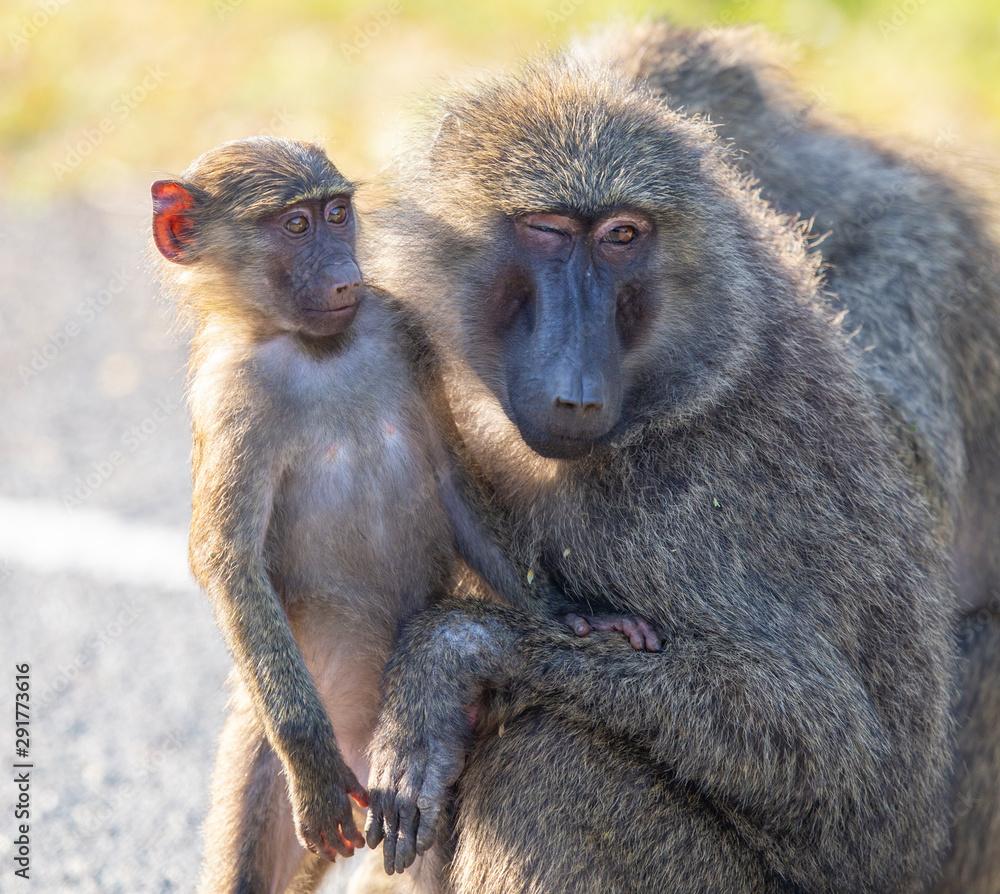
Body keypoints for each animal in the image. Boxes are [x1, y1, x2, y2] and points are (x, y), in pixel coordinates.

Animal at [150, 136, 661, 894]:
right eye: (295, 225)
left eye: (337, 214)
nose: (347, 277)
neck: (319, 350)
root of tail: (367, 755)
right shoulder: (229, 397)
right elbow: (228, 562)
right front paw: (311, 761)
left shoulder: (399, 328)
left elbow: (452, 479)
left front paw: (573, 616)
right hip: (284, 759)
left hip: (425, 780)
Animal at [359, 58, 958, 893]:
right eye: (547, 230)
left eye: (622, 236)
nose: (577, 389)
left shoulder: (681, 512)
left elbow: (831, 746)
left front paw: (455, 652)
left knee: (557, 761)